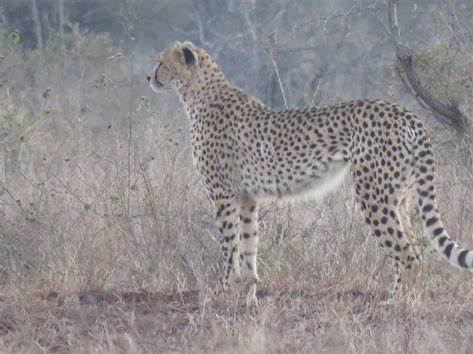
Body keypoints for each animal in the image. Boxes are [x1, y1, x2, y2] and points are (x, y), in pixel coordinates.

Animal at [148, 40, 472, 302]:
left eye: (161, 62)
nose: (148, 76)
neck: (199, 92)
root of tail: (406, 112)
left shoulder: (223, 195)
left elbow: (229, 246)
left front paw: (225, 293)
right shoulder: (247, 198)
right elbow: (249, 246)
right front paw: (248, 298)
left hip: (373, 195)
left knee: (408, 255)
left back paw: (395, 305)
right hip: (399, 195)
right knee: (416, 248)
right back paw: (410, 302)